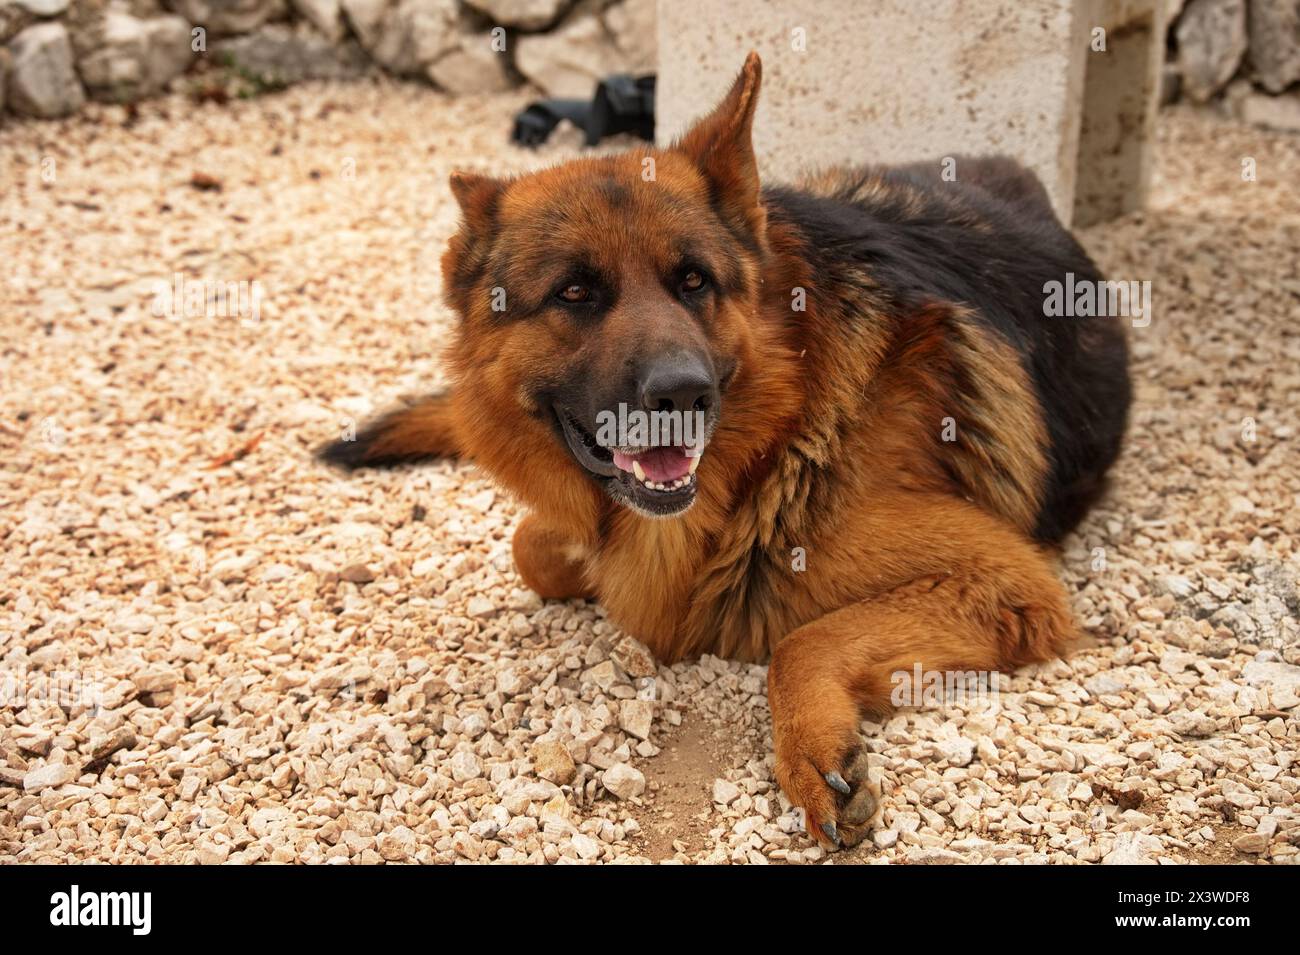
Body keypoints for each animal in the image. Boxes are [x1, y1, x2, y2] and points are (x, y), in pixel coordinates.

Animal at [319, 54, 1133, 841]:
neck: (780, 438)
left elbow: (798, 640)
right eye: (574, 293)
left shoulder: (1008, 583)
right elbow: (535, 548)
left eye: (693, 280)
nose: (683, 394)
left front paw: (811, 748)